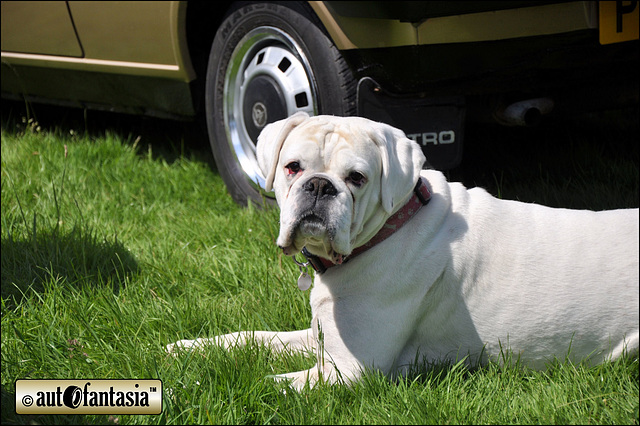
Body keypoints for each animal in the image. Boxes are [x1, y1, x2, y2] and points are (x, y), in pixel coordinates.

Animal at [168, 112, 636, 390]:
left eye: (356, 178)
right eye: (293, 167)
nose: (319, 186)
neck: (387, 229)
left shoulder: (349, 369)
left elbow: (260, 382)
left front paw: (185, 386)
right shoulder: (322, 340)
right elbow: (254, 338)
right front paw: (190, 349)